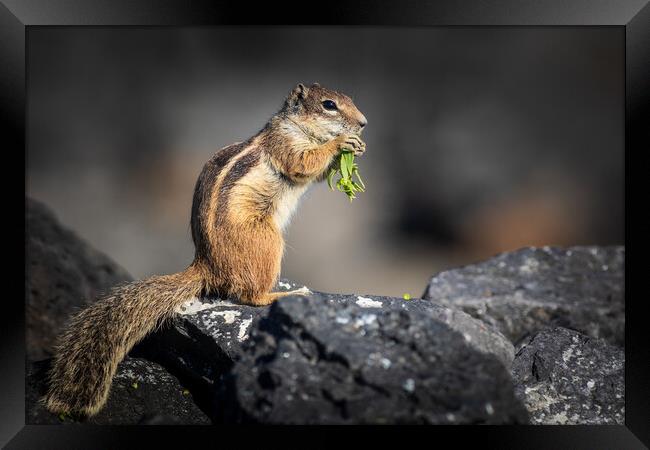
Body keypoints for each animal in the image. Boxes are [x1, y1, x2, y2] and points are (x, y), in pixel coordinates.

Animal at [43, 82, 368, 416]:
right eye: (329, 105)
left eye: (349, 99)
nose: (363, 123)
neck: (297, 126)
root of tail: (206, 265)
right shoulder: (285, 144)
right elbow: (304, 163)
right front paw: (342, 143)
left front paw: (358, 147)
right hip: (267, 241)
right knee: (250, 296)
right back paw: (284, 295)